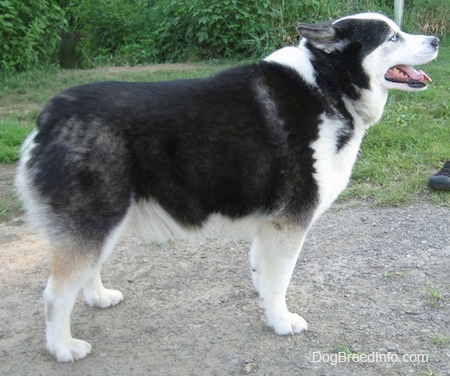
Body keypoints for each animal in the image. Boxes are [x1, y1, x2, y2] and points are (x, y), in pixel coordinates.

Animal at [15, 13, 438, 362]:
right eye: (392, 37)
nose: (435, 40)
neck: (326, 85)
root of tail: (49, 114)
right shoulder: (290, 222)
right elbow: (280, 281)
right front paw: (281, 320)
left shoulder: (270, 225)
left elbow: (265, 276)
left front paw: (268, 306)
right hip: (96, 219)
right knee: (56, 293)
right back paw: (62, 347)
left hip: (107, 221)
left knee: (86, 272)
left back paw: (98, 297)